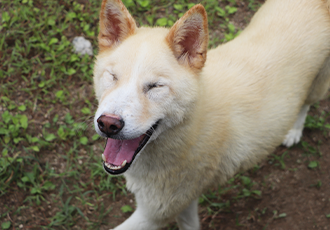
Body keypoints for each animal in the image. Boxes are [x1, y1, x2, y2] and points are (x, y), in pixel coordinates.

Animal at [92, 0, 330, 229]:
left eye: (155, 86)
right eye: (112, 76)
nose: (108, 124)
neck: (190, 128)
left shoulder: (156, 213)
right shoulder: (182, 204)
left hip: (317, 85)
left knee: (306, 104)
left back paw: (294, 130)